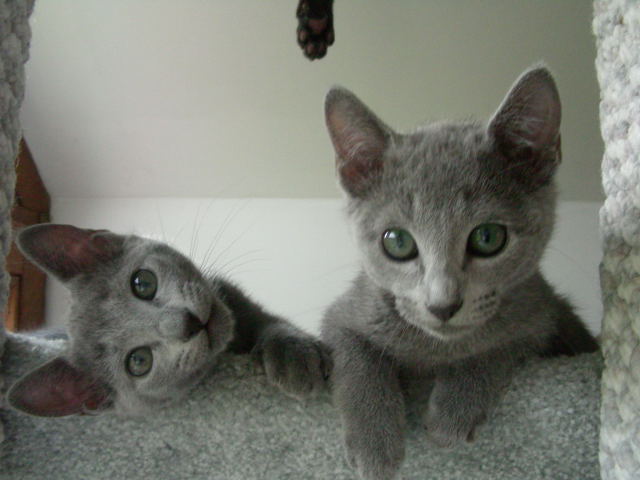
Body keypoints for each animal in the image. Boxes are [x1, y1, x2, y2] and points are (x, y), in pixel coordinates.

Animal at [320, 66, 599, 480]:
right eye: (397, 242)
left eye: (488, 237)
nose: (443, 305)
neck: (436, 349)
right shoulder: (346, 311)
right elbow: (355, 354)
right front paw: (375, 443)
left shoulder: (543, 315)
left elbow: (501, 342)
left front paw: (453, 412)